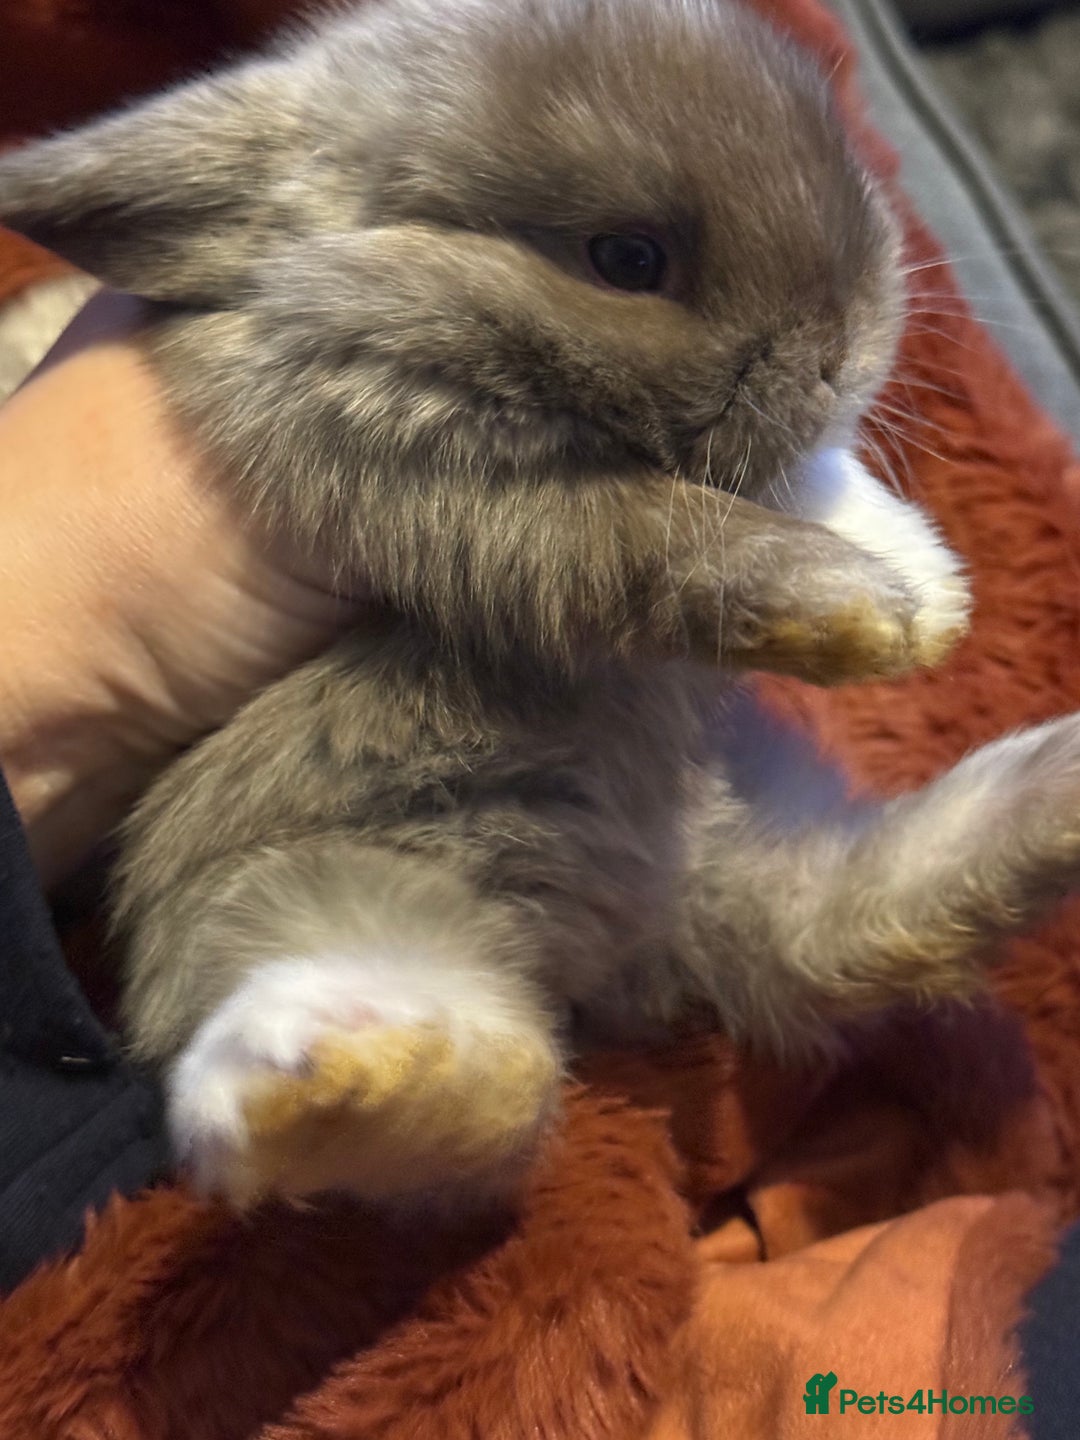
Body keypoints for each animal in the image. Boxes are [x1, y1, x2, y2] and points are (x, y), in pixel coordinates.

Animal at [0, 0, 1074, 1210]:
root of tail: (640, 935)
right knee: (471, 1086)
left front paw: (927, 592)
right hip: (301, 892)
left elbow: (791, 478)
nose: (847, 353)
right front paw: (870, 615)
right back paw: (319, 1074)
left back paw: (1064, 783)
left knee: (853, 912)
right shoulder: (453, 496)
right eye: (627, 259)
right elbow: (665, 532)